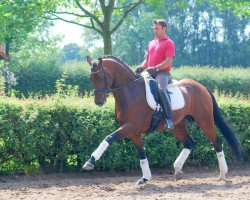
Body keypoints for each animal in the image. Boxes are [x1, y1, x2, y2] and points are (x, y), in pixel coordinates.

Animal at [83, 54, 243, 184]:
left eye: (100, 77)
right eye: (91, 78)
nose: (98, 101)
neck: (130, 91)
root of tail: (201, 87)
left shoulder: (130, 126)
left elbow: (109, 138)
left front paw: (90, 162)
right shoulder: (134, 131)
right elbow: (141, 153)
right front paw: (145, 178)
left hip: (204, 120)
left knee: (216, 142)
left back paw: (222, 174)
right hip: (178, 125)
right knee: (189, 143)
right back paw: (177, 169)